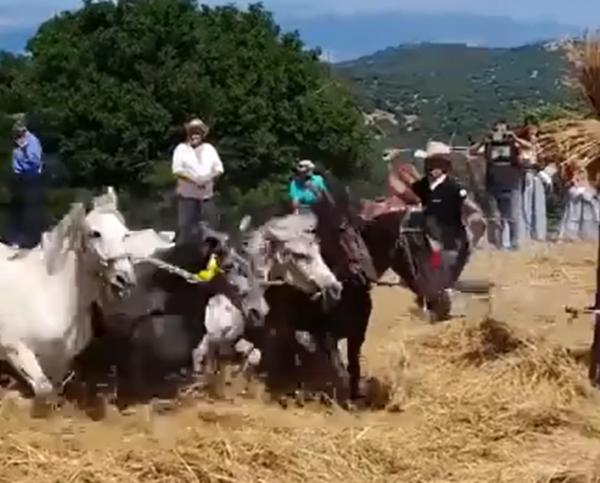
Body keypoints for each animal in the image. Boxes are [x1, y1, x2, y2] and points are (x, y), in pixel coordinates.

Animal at [0, 187, 136, 402]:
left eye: (125, 234)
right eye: (95, 234)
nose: (124, 277)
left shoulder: (59, 362)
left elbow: (54, 394)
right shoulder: (16, 349)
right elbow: (43, 390)